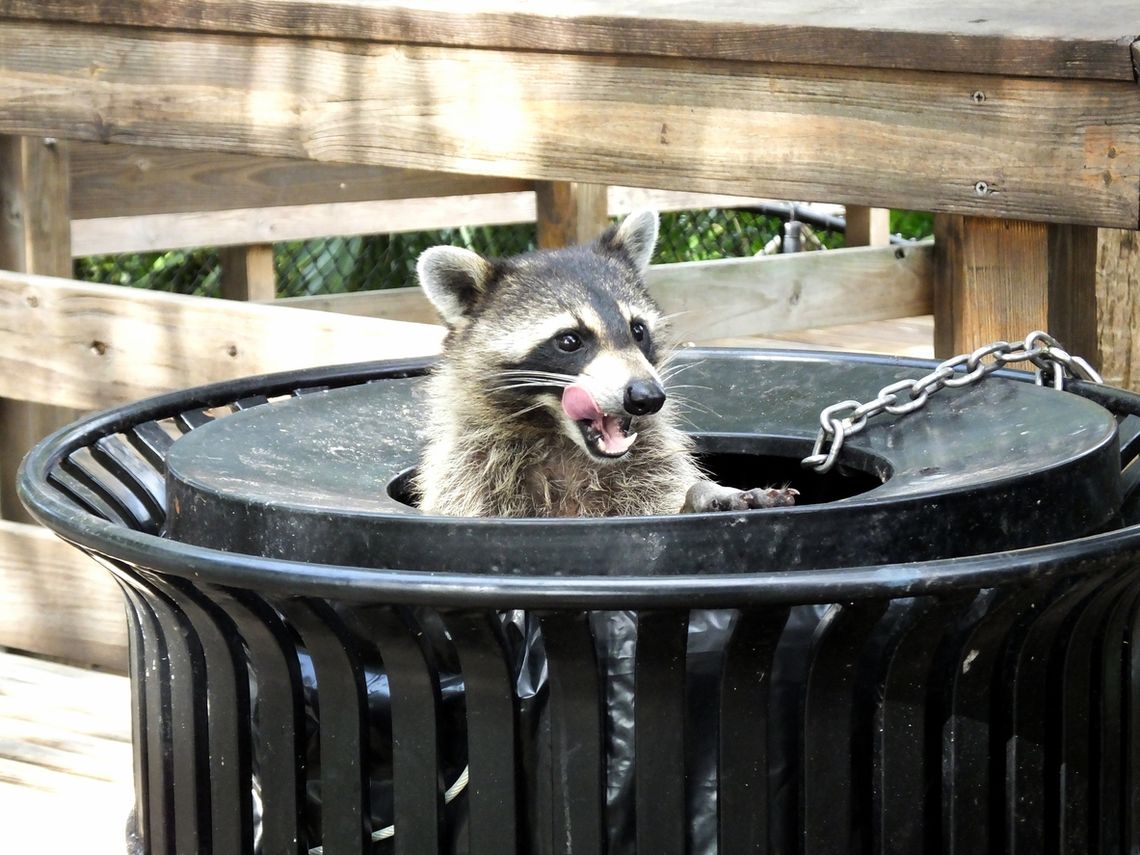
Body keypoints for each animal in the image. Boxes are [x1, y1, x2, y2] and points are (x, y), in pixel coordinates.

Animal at [414, 210, 798, 519]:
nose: (647, 397)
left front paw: (703, 494)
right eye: (569, 341)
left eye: (638, 330)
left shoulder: (648, 470)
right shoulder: (471, 475)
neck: (566, 446)